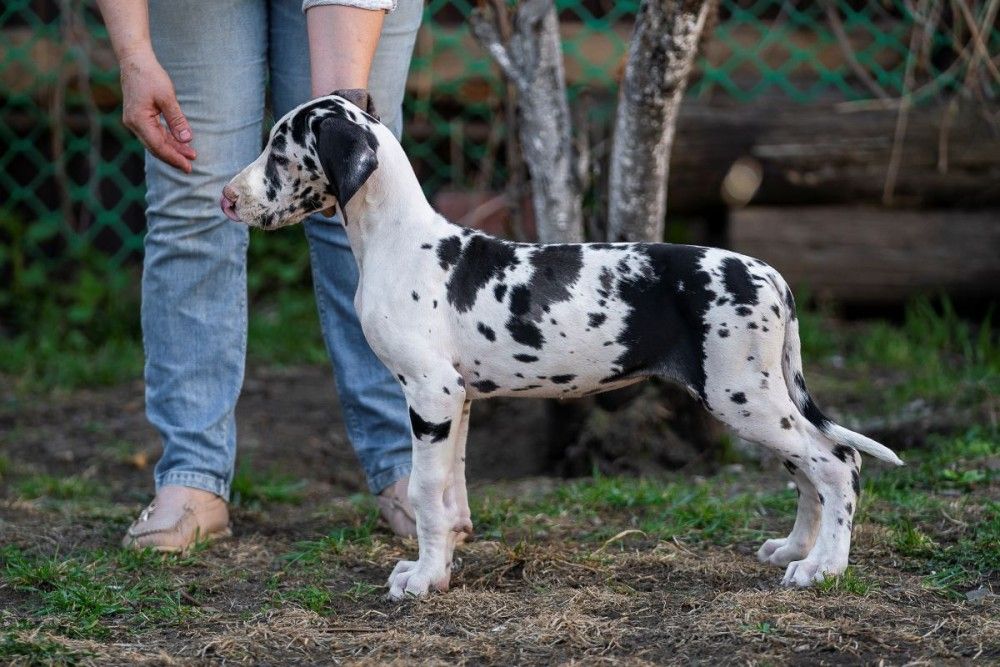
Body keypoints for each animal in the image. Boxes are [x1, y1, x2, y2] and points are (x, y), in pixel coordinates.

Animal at [221, 91, 903, 600]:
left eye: (279, 151)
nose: (226, 198)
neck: (397, 240)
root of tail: (773, 276)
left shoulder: (429, 395)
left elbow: (422, 493)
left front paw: (424, 579)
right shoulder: (457, 399)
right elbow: (450, 490)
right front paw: (442, 561)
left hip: (743, 397)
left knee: (836, 463)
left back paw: (824, 568)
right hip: (758, 398)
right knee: (809, 469)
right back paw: (795, 549)